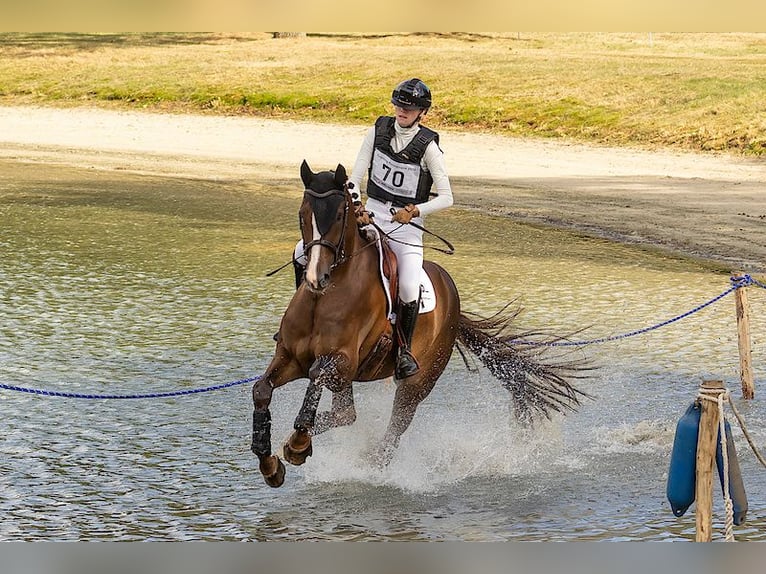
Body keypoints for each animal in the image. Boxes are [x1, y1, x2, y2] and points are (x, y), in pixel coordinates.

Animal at [249, 160, 592, 488]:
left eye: (337, 216)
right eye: (302, 214)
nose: (315, 278)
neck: (325, 297)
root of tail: (453, 298)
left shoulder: (342, 362)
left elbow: (317, 376)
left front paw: (297, 445)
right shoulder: (290, 357)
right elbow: (261, 390)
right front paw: (270, 463)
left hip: (418, 382)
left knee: (392, 429)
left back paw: (372, 464)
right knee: (346, 414)